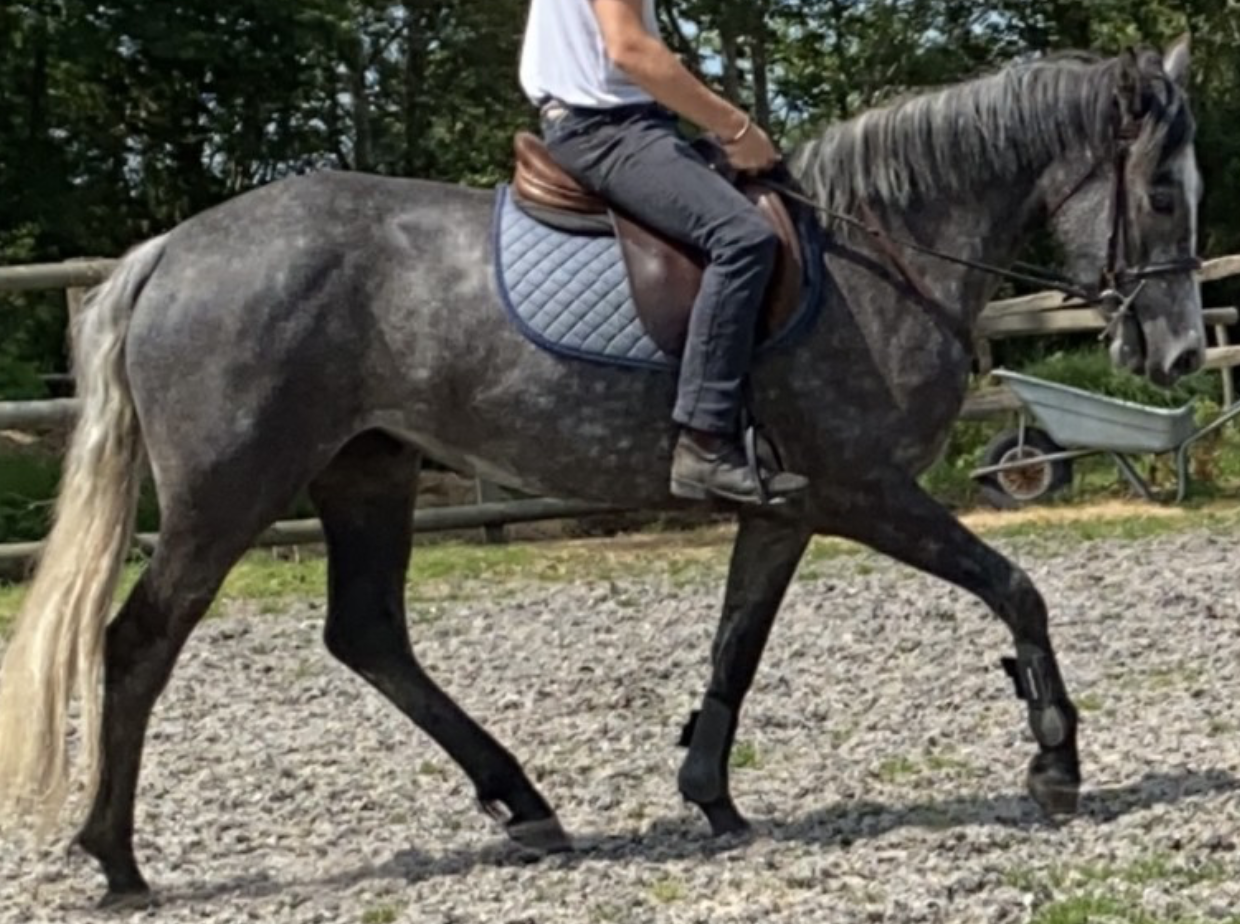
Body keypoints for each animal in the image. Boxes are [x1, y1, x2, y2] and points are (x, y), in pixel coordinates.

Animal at [0, 38, 1204, 907]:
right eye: (1159, 196)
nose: (1182, 353)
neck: (879, 251)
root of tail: (169, 251)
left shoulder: (791, 507)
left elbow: (737, 643)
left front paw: (710, 797)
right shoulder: (868, 493)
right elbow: (1017, 590)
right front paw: (1055, 762)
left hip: (365, 473)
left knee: (368, 635)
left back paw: (524, 801)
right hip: (231, 490)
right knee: (139, 642)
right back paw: (117, 859)